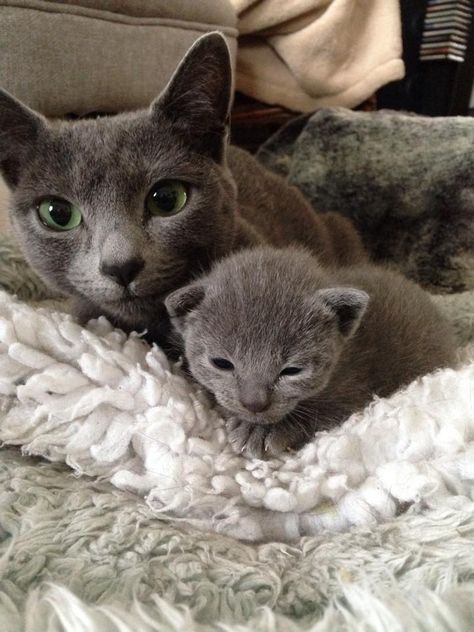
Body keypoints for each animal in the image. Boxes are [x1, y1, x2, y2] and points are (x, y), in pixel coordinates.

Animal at [164, 244, 456, 456]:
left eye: (292, 370)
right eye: (222, 363)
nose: (254, 403)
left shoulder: (354, 393)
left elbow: (320, 414)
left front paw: (262, 432)